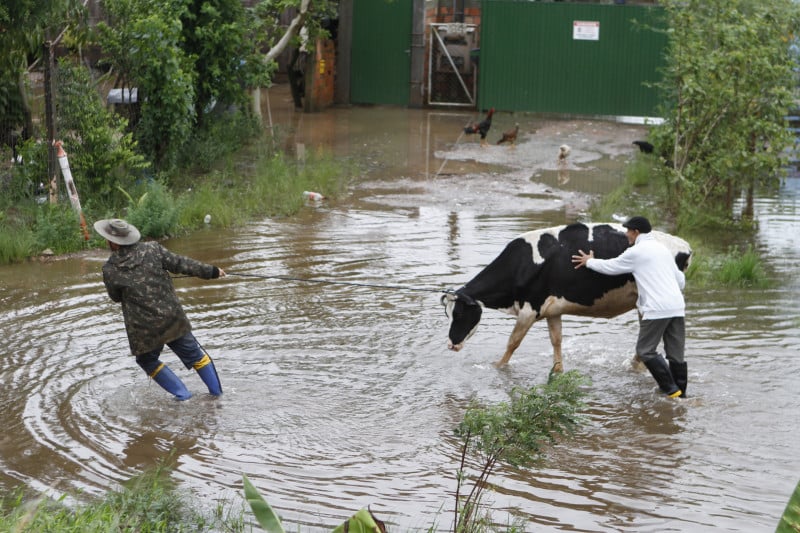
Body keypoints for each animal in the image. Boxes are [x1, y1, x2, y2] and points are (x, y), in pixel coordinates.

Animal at [442, 222, 692, 372]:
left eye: (461, 313)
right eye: (449, 315)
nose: (451, 344)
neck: (521, 264)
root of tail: (684, 246)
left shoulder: (529, 309)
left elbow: (513, 342)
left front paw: (498, 367)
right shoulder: (552, 310)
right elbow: (556, 340)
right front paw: (557, 370)